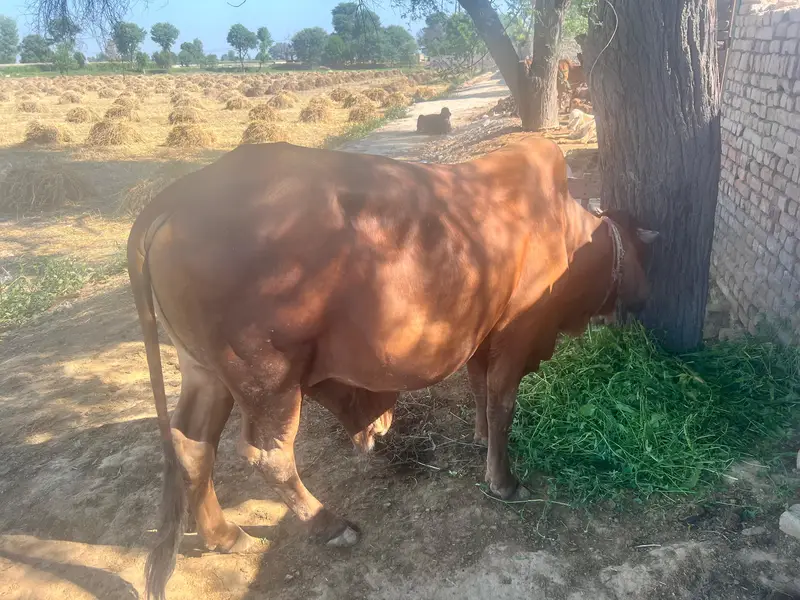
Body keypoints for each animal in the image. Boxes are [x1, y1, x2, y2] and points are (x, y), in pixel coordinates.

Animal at [128, 138, 659, 599]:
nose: (644, 298)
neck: (566, 232)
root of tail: (182, 193)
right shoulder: (517, 331)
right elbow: (502, 401)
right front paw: (504, 480)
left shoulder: (481, 332)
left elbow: (479, 388)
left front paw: (480, 438)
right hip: (267, 378)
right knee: (268, 456)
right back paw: (329, 524)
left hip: (207, 373)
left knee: (192, 447)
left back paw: (225, 535)